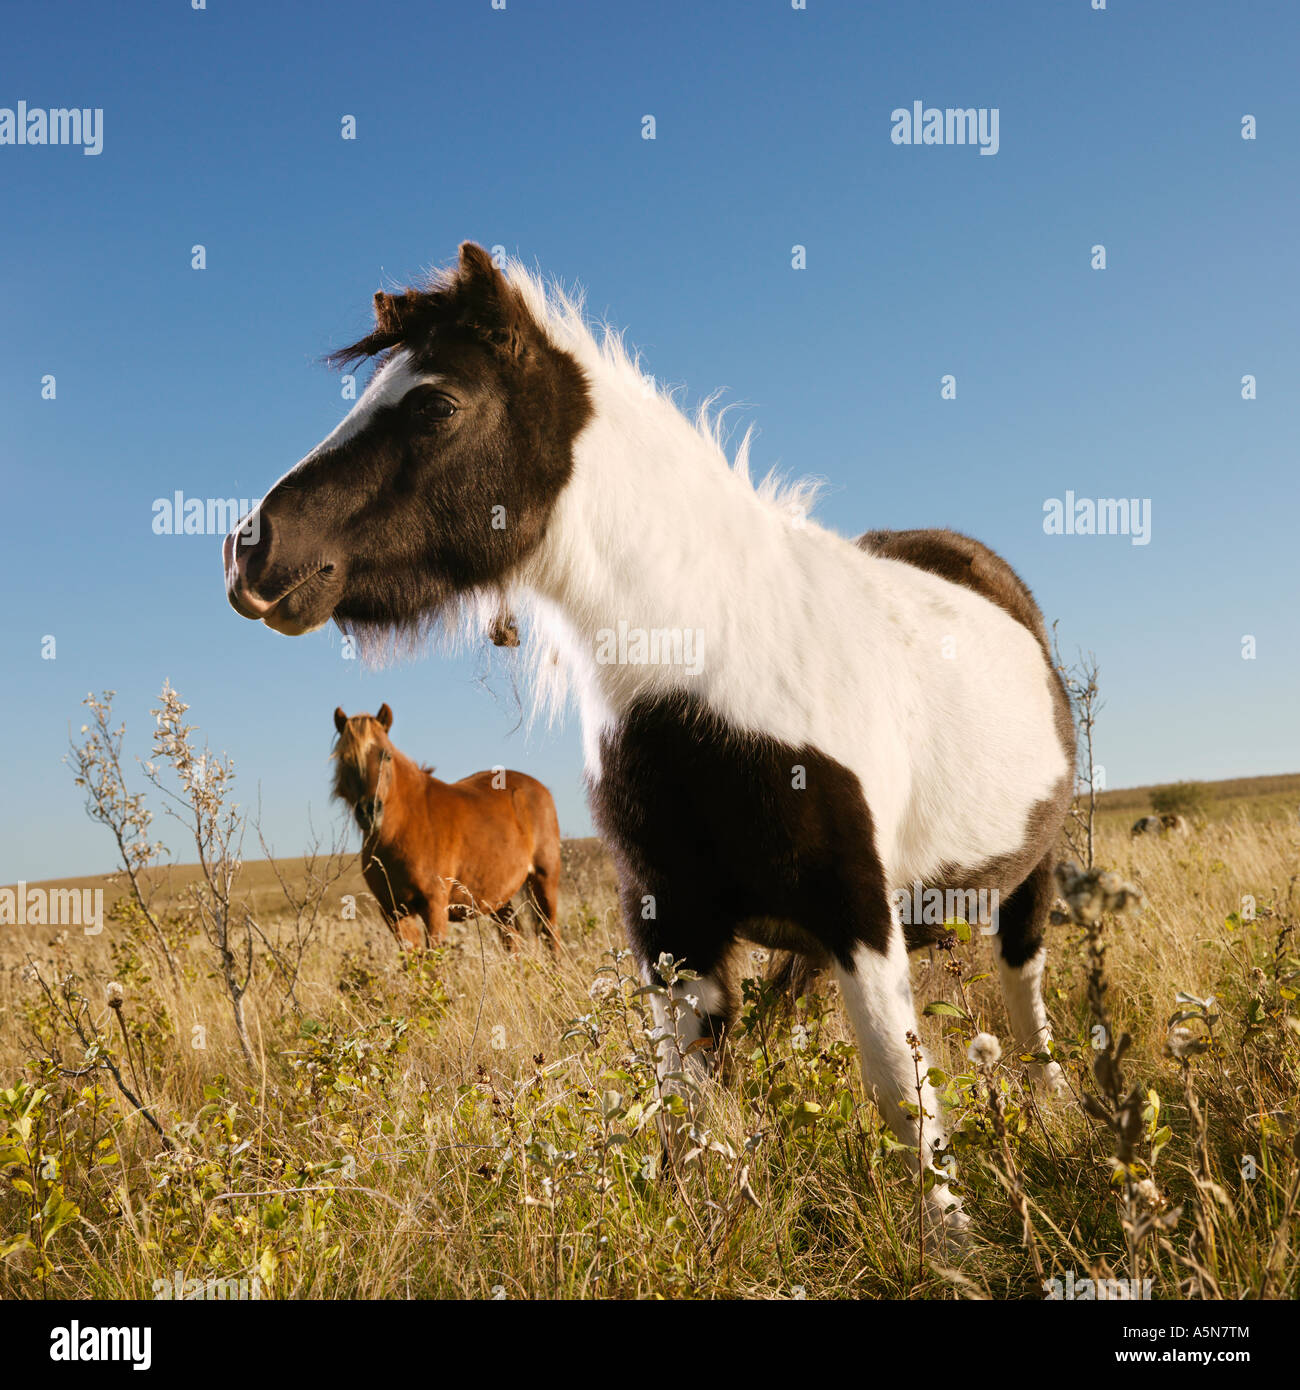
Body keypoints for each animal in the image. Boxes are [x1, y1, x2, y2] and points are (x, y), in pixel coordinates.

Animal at [330, 703, 561, 952]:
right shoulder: (394, 912)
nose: (369, 811)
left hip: (544, 881)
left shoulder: (434, 907)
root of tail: (540, 788)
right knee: (511, 936)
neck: (403, 827)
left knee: (550, 933)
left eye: (387, 755)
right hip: (500, 896)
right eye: (345, 759)